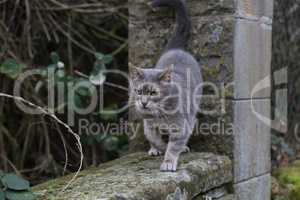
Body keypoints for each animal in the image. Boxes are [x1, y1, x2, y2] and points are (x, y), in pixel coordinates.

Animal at [130, 0, 203, 172]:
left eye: (153, 93)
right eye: (138, 91)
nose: (143, 103)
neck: (160, 112)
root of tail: (177, 49)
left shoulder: (181, 126)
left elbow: (174, 145)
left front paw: (169, 161)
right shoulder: (149, 125)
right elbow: (155, 138)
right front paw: (159, 147)